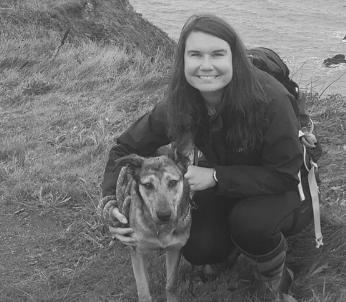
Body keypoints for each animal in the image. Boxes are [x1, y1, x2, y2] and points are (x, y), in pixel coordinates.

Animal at [107, 155, 192, 300]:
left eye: (173, 182)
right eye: (147, 185)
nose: (164, 215)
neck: (160, 229)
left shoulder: (175, 248)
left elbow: (171, 284)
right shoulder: (136, 251)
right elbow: (143, 290)